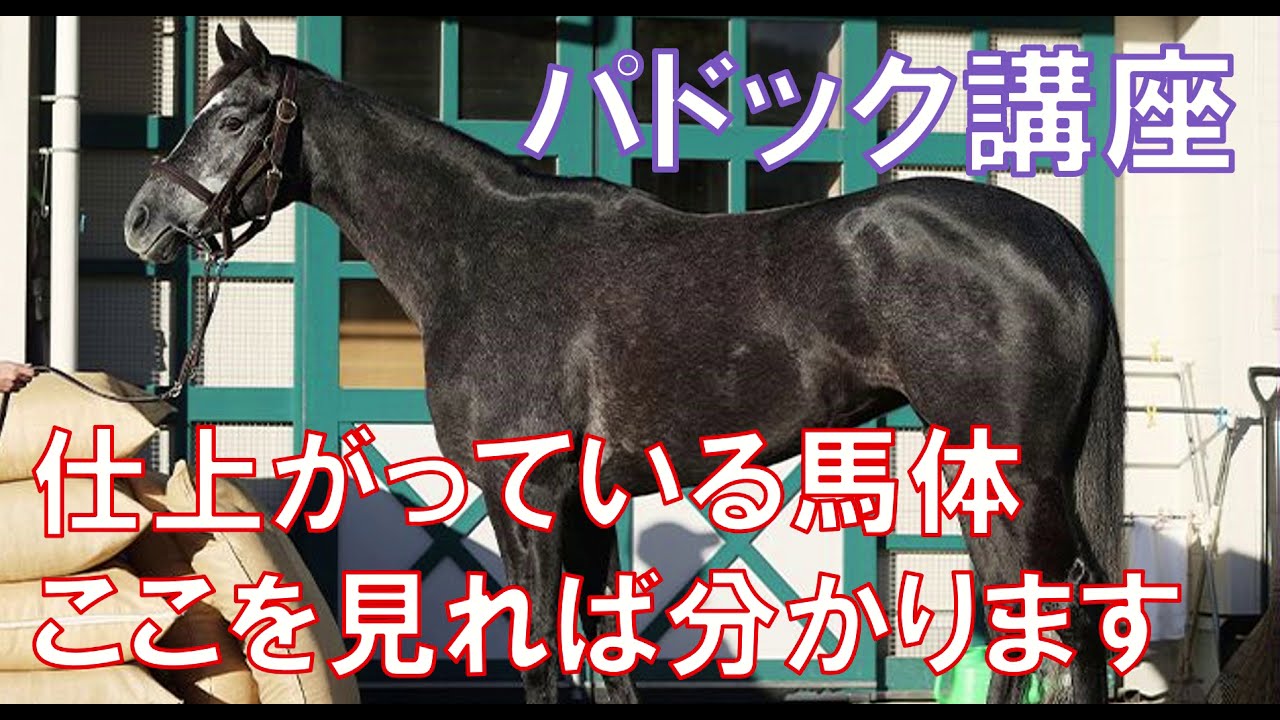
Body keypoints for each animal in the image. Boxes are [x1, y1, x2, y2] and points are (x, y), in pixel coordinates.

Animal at [124, 21, 1124, 704]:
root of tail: (1053, 233)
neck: (480, 252)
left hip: (1009, 477)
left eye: (234, 117)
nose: (141, 221)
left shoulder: (523, 493)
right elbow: (601, 661)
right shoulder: (589, 501)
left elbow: (544, 658)